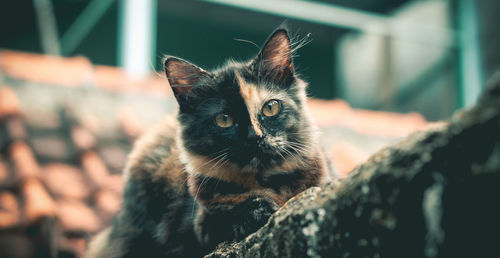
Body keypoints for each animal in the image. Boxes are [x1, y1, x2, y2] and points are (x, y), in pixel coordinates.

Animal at [86, 26, 336, 258]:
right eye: (224, 119)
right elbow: (228, 215)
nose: (255, 136)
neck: (264, 181)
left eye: (270, 107)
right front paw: (259, 210)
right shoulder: (200, 223)